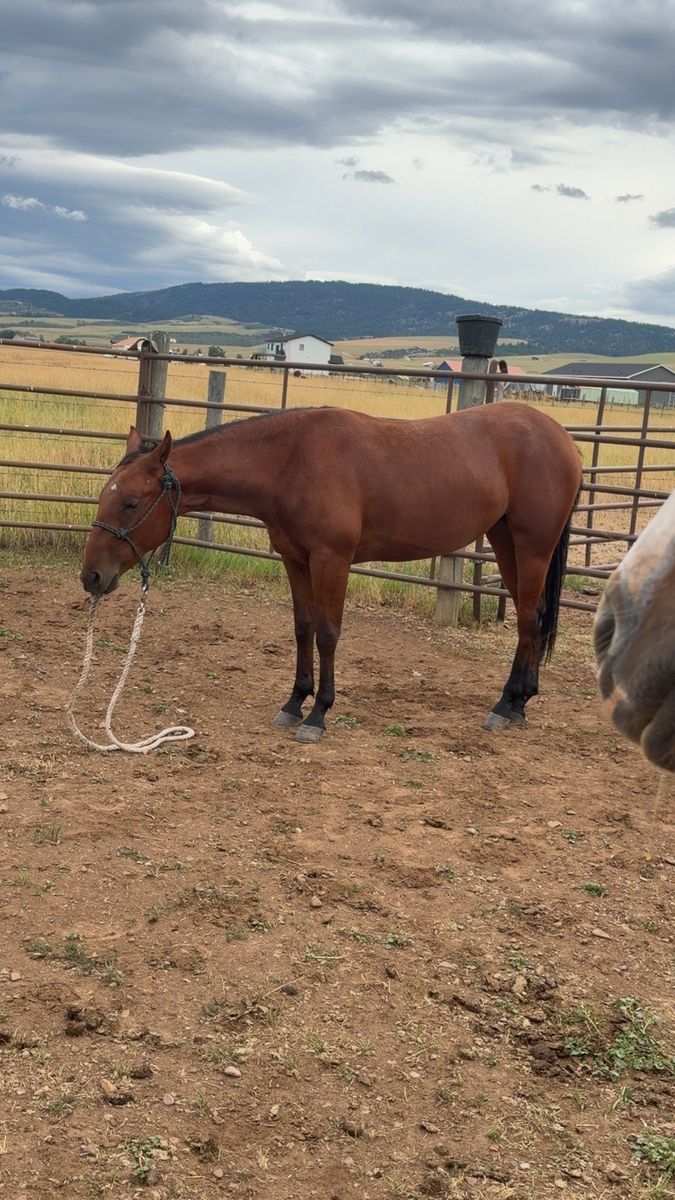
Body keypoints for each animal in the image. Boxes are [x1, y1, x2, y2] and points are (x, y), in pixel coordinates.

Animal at [80, 404, 582, 743]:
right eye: (105, 496)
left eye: (130, 503)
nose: (92, 577)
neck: (290, 461)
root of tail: (560, 435)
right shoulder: (296, 559)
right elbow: (302, 628)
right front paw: (293, 703)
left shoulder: (331, 560)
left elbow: (327, 633)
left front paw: (318, 714)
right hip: (504, 540)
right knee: (531, 615)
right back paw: (519, 701)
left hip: (532, 545)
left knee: (528, 618)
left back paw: (507, 704)